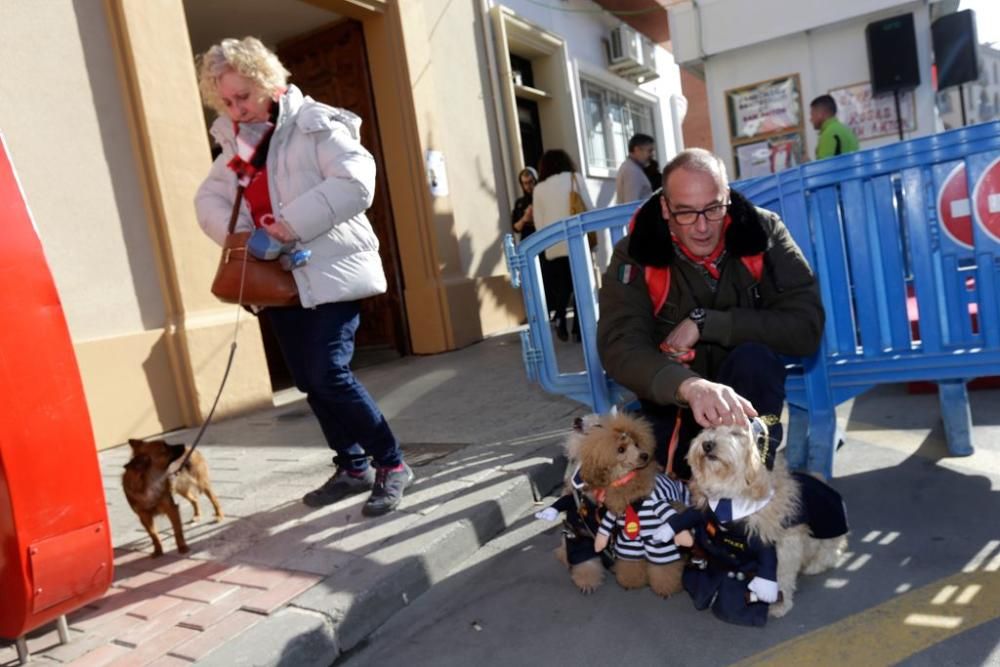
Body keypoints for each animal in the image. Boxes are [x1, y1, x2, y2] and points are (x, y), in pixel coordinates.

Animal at [692, 422, 848, 620]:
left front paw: (778, 604)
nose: (707, 444)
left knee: (832, 553)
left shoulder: (785, 545)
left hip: (827, 533)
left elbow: (781, 575)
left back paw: (815, 565)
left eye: (736, 433)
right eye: (710, 428)